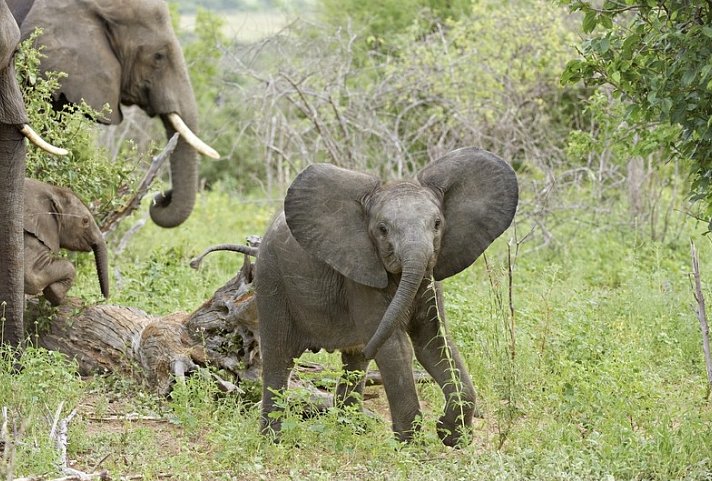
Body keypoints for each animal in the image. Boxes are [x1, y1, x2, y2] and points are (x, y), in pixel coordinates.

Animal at [23, 178, 108, 306]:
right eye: (85, 221)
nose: (103, 299)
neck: (50, 189)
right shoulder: (29, 236)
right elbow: (31, 277)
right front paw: (56, 295)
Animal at [256, 147, 516, 446]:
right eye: (382, 229)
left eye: (437, 224)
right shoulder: (361, 276)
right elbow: (395, 346)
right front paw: (412, 447)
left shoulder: (429, 279)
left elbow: (433, 340)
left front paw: (452, 436)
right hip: (271, 281)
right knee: (278, 359)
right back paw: (273, 442)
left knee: (355, 361)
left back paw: (352, 430)